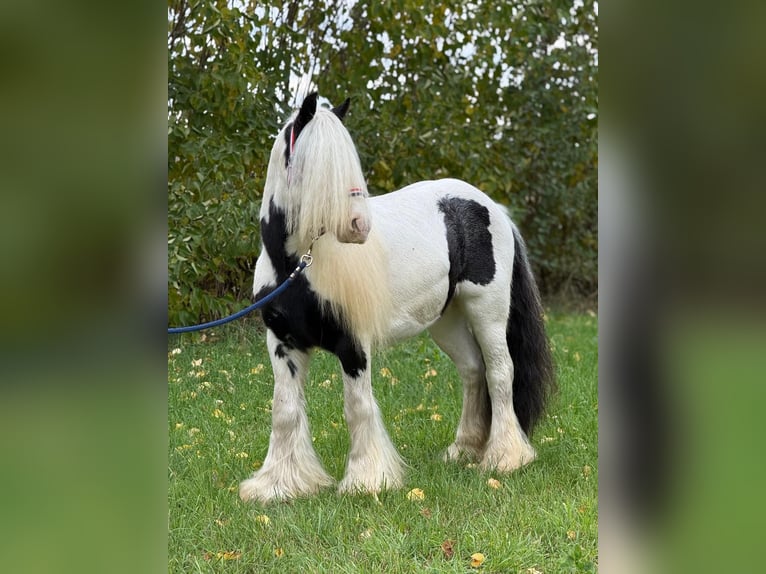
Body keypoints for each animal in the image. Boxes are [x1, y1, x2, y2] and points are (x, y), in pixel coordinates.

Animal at [239, 92, 555, 503]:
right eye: (318, 165)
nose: (358, 226)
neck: (296, 266)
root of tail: (492, 207)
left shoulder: (353, 346)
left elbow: (357, 407)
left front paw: (366, 481)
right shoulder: (282, 344)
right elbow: (285, 410)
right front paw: (281, 485)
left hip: (487, 311)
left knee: (501, 372)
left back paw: (505, 457)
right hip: (446, 321)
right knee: (473, 371)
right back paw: (464, 449)